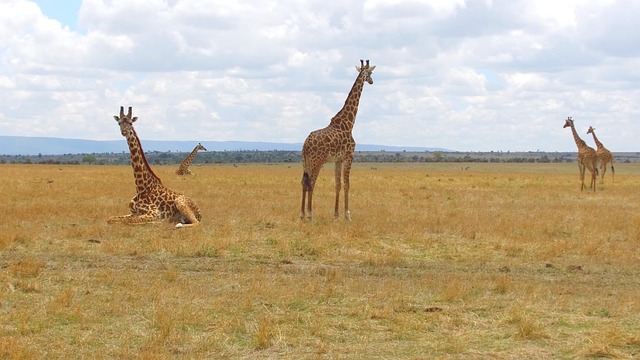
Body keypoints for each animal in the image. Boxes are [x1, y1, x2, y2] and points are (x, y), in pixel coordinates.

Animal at [300, 59, 376, 219]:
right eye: (370, 73)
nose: (372, 81)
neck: (349, 123)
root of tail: (306, 144)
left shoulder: (338, 160)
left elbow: (338, 184)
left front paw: (336, 214)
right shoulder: (349, 156)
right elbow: (347, 184)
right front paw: (347, 214)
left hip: (305, 161)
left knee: (304, 182)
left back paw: (302, 214)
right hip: (317, 161)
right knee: (311, 183)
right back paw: (310, 214)